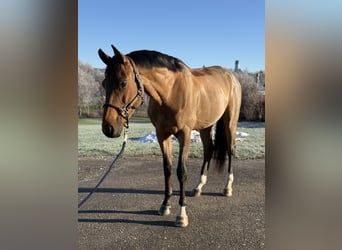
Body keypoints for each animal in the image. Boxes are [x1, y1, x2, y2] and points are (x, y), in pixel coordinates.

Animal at [97, 45, 242, 227]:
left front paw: (182, 214)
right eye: (104, 83)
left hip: (230, 122)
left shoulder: (185, 134)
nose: (108, 128)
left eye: (123, 83)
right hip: (205, 126)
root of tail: (230, 76)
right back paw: (198, 187)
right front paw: (165, 205)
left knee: (231, 150)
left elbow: (181, 171)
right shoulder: (162, 134)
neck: (171, 91)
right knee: (209, 149)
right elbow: (167, 169)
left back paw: (227, 187)